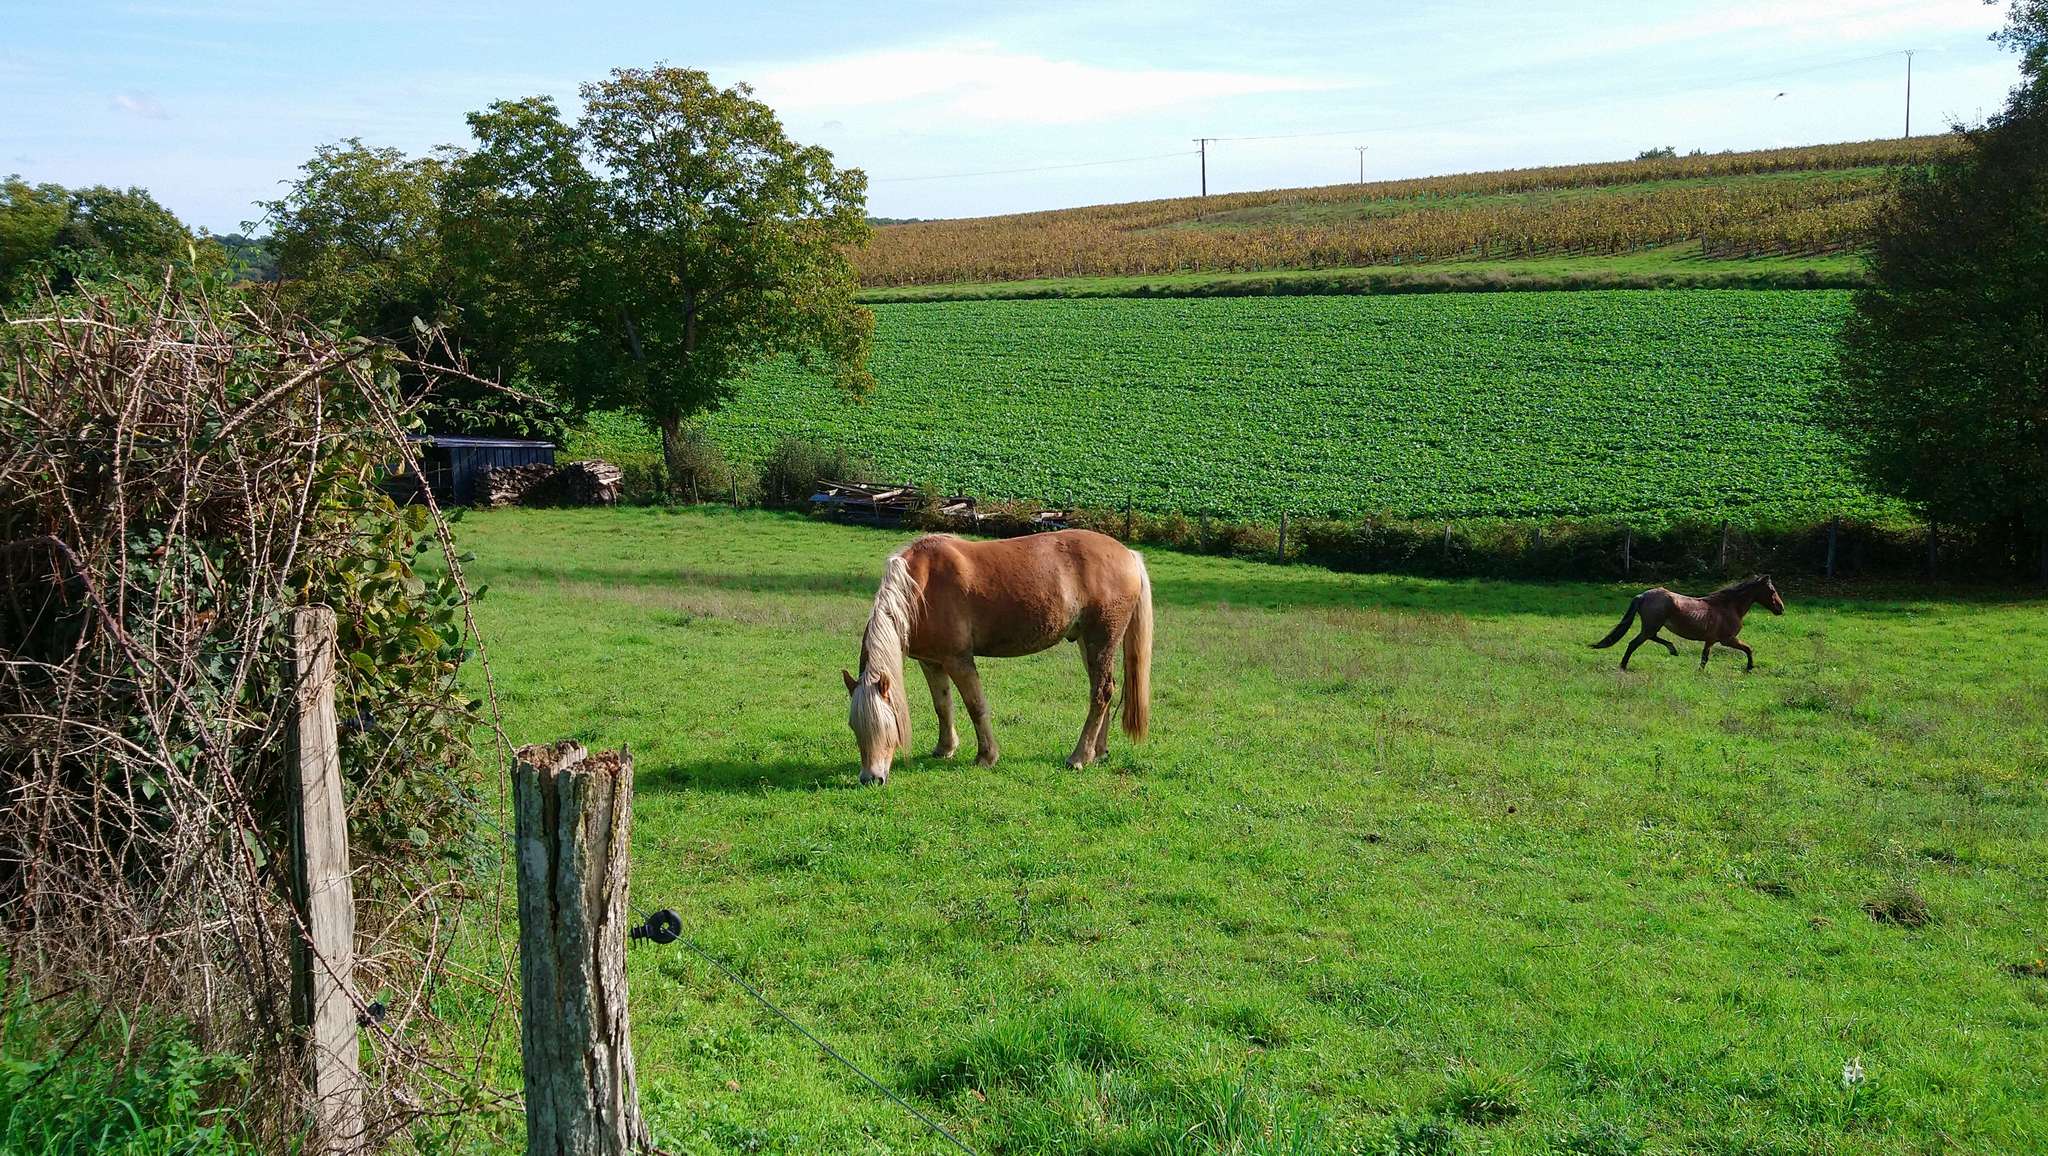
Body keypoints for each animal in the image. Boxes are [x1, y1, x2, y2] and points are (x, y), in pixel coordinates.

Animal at [843, 530, 1153, 785]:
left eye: (887, 725)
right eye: (853, 726)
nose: (871, 779)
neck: (921, 586)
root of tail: (1128, 555)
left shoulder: (958, 660)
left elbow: (976, 706)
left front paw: (986, 756)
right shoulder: (931, 662)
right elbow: (942, 706)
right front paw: (945, 748)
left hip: (1100, 640)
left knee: (1101, 693)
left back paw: (1079, 757)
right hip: (1088, 643)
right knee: (1104, 692)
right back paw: (1098, 752)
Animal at [1591, 575, 1784, 671]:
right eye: (1772, 591)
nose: (1781, 609)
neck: (1728, 607)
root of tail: (1643, 595)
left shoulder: (1710, 640)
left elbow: (1704, 658)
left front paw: (1700, 672)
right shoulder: (1727, 639)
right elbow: (1748, 649)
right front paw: (1750, 668)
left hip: (1652, 626)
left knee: (1651, 638)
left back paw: (1672, 650)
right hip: (1651, 625)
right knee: (1634, 643)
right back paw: (1624, 666)